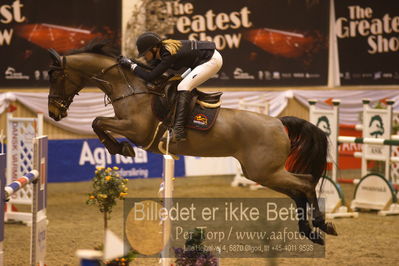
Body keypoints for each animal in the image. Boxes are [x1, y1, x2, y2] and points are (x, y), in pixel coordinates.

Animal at [47, 40, 338, 245]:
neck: (131, 89)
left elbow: (98, 122)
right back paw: (311, 232)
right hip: (263, 173)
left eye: (56, 77)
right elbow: (98, 123)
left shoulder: (137, 130)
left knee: (305, 183)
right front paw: (119, 148)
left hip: (265, 171)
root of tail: (278, 122)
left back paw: (323, 224)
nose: (53, 113)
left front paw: (120, 148)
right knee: (297, 192)